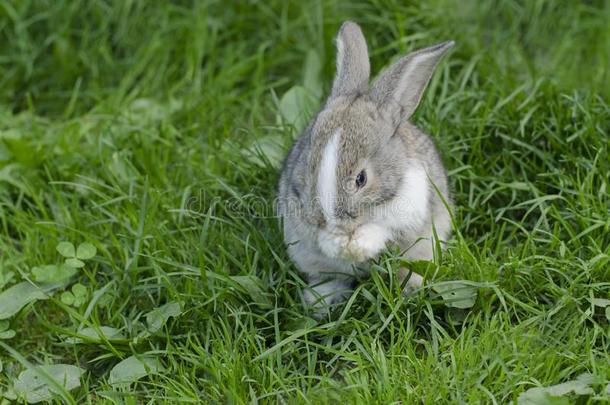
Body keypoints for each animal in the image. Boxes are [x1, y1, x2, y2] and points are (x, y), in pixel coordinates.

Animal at [276, 21, 452, 316]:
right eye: (309, 167)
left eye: (361, 179)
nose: (333, 220)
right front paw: (338, 244)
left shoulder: (408, 209)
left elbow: (381, 229)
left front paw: (357, 246)